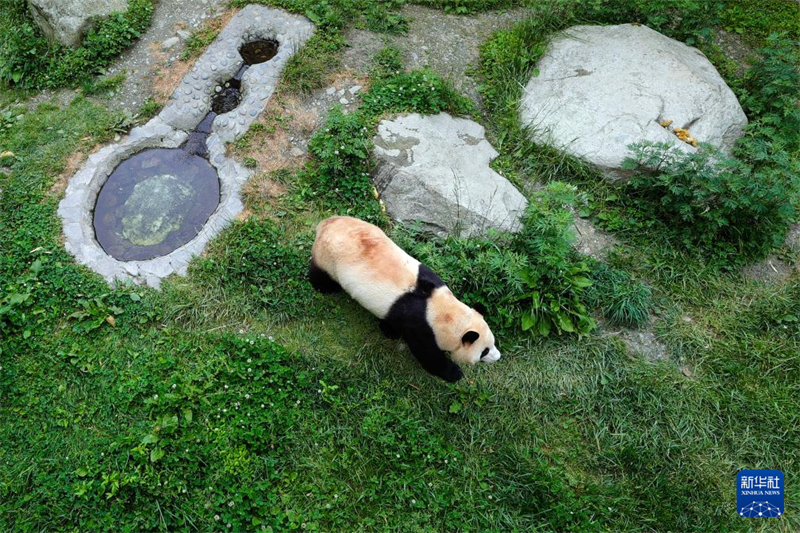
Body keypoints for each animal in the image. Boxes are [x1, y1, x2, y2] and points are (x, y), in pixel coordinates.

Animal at [308, 216, 501, 382]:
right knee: (320, 276)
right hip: (328, 257)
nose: (498, 357)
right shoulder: (420, 326)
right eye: (484, 351)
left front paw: (388, 330)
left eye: (493, 342)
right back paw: (327, 287)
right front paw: (455, 373)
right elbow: (428, 355)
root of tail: (325, 224)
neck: (443, 311)